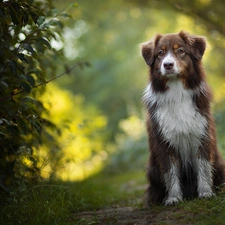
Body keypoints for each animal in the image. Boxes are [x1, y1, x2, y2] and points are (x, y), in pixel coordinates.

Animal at [141, 31, 225, 206]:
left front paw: (206, 193)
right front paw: (173, 198)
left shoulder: (202, 135)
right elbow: (170, 172)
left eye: (180, 51)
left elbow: (204, 167)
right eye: (160, 53)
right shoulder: (164, 141)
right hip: (152, 169)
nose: (167, 65)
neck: (177, 92)